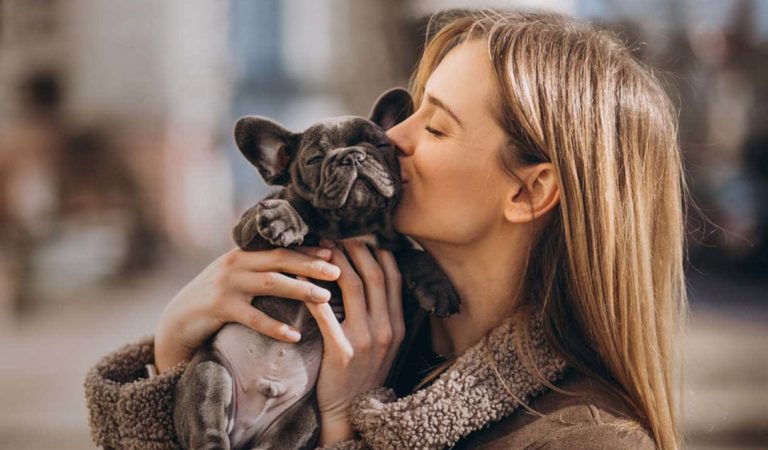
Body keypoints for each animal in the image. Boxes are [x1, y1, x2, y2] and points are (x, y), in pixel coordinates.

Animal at [174, 89, 460, 450]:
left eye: (380, 145)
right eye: (313, 160)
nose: (352, 157)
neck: (352, 226)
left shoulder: (393, 251)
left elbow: (415, 254)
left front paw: (438, 286)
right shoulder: (247, 229)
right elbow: (290, 207)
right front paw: (288, 218)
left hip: (304, 418)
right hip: (209, 373)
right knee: (208, 424)